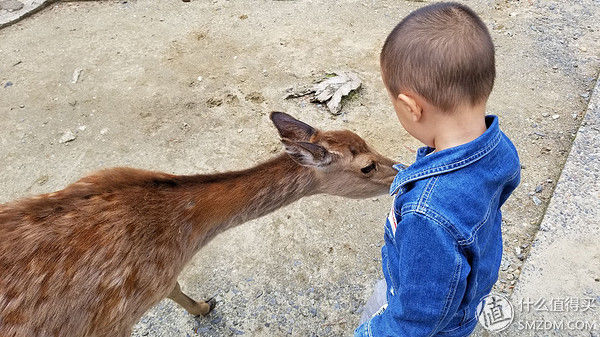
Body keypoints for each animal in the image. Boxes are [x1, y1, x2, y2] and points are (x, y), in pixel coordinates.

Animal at [2, 111, 400, 334]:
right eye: (366, 166)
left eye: (364, 138)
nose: (398, 168)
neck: (185, 235)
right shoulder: (114, 318)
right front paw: (206, 308)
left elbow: (176, 288)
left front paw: (204, 306)